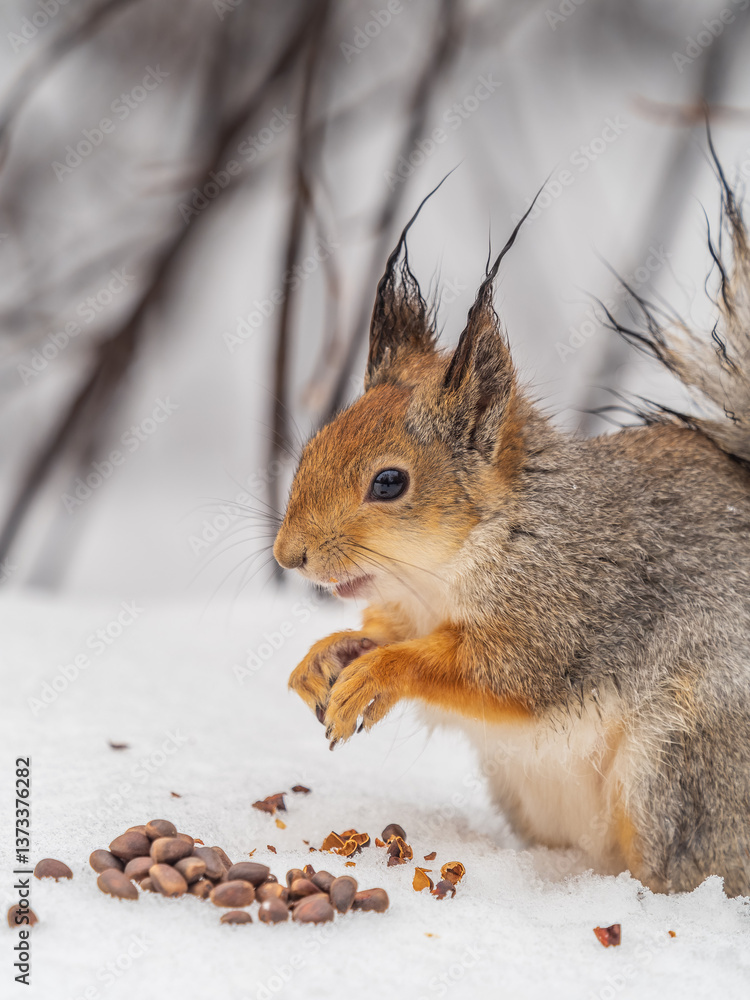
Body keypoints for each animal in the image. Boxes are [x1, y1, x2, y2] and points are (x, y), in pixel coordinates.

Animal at [273, 154, 750, 897]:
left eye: (389, 482)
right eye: (314, 445)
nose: (287, 555)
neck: (442, 573)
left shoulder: (564, 608)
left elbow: (500, 672)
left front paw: (380, 674)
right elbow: (381, 634)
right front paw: (326, 657)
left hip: (679, 765)